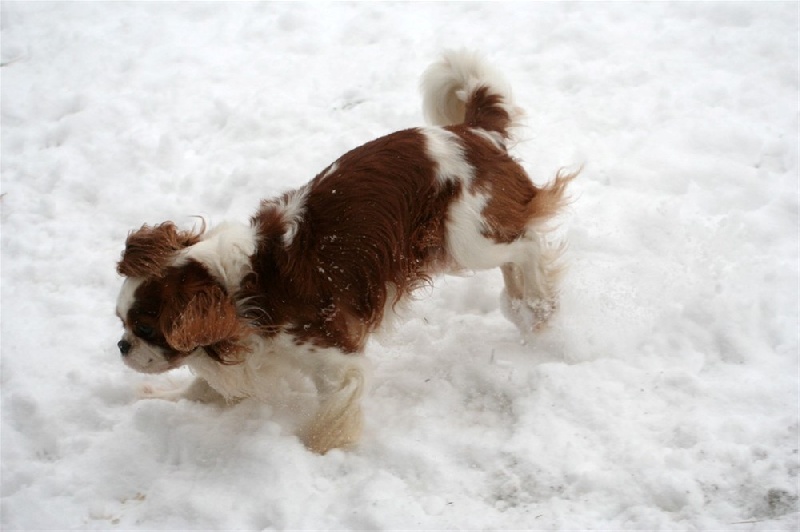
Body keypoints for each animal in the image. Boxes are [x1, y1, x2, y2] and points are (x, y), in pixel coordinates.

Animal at [114, 52, 576, 454]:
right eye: (121, 323)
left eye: (146, 329)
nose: (121, 346)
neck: (241, 289)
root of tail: (472, 133)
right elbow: (203, 389)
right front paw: (160, 397)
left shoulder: (334, 360)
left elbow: (328, 420)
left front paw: (305, 455)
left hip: (467, 238)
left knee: (527, 245)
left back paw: (535, 306)